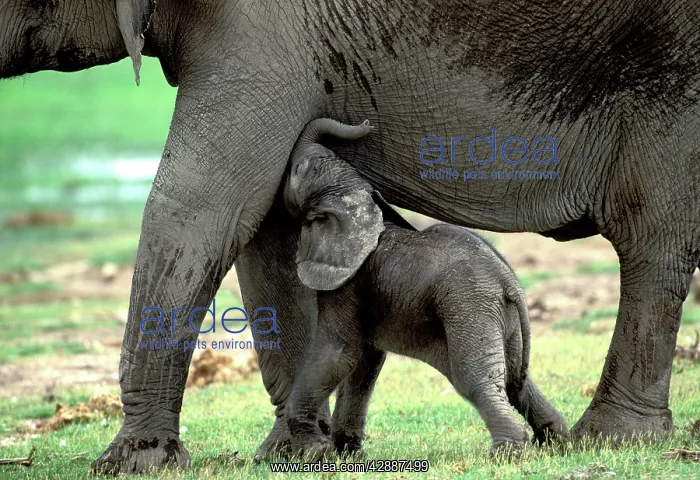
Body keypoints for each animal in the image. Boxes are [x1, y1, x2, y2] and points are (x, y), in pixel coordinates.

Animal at [280, 118, 569, 458]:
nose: (367, 123)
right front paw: (347, 452)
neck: (357, 197)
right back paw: (557, 442)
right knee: (514, 381)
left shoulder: (349, 282)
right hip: (501, 320)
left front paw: (313, 450)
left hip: (469, 307)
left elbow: (339, 352)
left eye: (297, 170)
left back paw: (507, 454)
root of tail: (511, 283)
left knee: (473, 377)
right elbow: (365, 360)